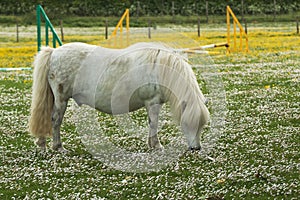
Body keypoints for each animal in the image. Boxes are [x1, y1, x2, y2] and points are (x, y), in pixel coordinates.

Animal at [29, 42, 210, 152]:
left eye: (202, 125)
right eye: (187, 123)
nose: (196, 148)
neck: (160, 69)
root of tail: (54, 52)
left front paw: (151, 145)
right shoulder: (153, 103)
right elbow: (154, 124)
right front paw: (157, 146)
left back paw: (43, 143)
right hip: (61, 99)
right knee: (55, 120)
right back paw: (58, 147)